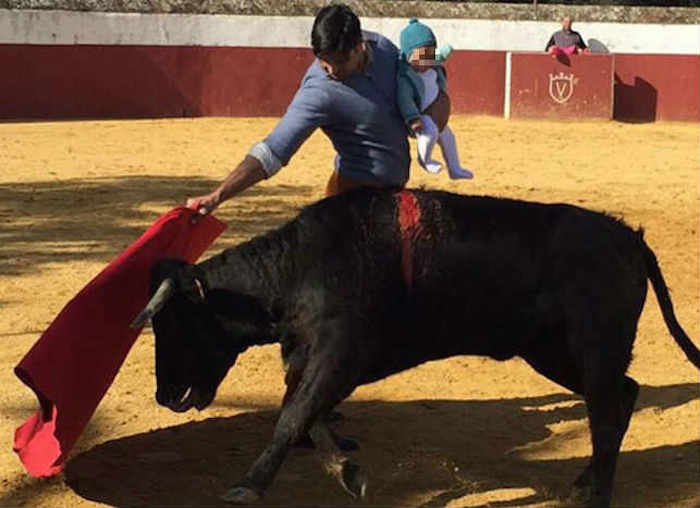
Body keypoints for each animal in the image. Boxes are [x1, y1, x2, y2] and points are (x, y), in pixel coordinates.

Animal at [133, 189, 700, 506]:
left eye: (175, 324)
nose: (164, 396)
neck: (300, 268)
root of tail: (629, 237)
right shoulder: (312, 359)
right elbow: (305, 416)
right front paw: (349, 473)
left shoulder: (340, 354)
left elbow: (293, 417)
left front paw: (248, 485)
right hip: (552, 352)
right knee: (622, 395)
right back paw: (586, 481)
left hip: (592, 346)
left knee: (605, 409)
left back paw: (598, 492)